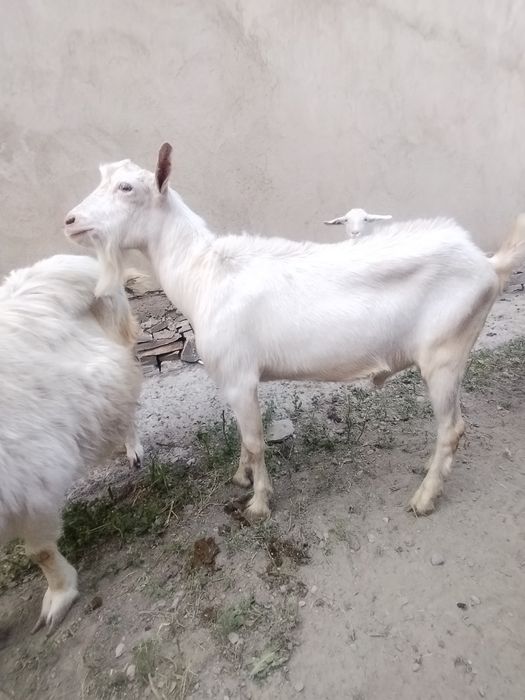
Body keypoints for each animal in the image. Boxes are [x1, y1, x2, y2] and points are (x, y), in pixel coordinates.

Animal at [64, 143, 525, 521]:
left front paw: (259, 503)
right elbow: (243, 438)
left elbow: (255, 441)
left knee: (452, 429)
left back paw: (424, 497)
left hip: (445, 354)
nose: (70, 220)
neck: (207, 273)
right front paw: (241, 478)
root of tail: (488, 264)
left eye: (126, 187)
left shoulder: (240, 376)